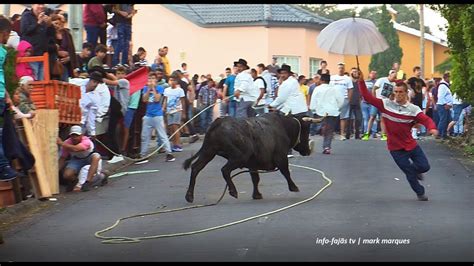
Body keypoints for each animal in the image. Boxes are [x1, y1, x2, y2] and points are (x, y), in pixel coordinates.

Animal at [183, 111, 320, 202]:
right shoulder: (281, 157)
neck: (283, 127)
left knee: (195, 168)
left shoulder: (253, 163)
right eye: (306, 129)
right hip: (239, 156)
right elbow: (286, 172)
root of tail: (218, 122)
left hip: (208, 152)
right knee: (225, 170)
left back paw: (189, 196)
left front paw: (257, 195)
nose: (308, 150)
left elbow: (255, 178)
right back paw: (233, 191)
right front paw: (294, 187)